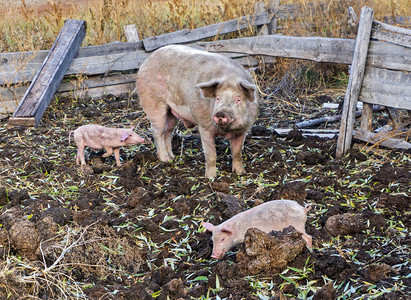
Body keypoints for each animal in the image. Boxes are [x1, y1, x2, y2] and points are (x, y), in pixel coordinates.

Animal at [135, 44, 260, 178]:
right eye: (217, 98)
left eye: (238, 99)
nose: (221, 113)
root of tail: (146, 61)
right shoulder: (204, 126)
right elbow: (211, 154)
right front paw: (211, 177)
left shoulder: (243, 130)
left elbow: (237, 153)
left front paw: (241, 173)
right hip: (153, 102)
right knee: (156, 131)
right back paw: (165, 159)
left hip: (171, 112)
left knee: (167, 132)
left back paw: (172, 157)